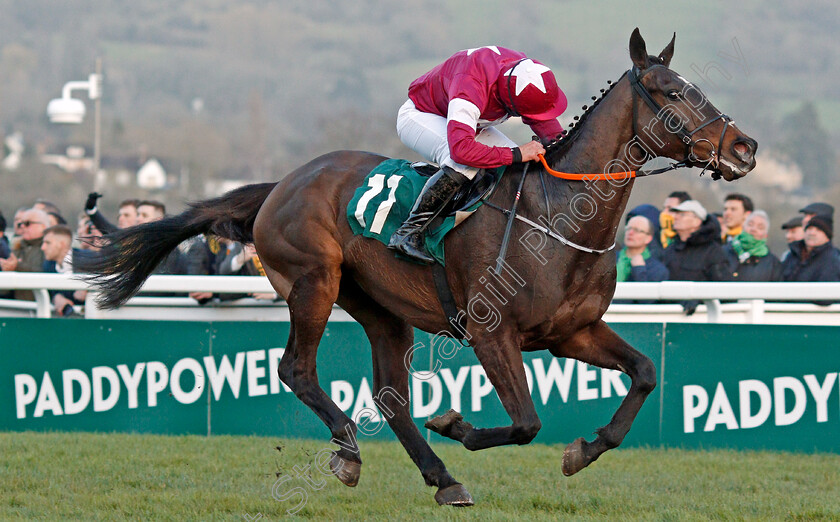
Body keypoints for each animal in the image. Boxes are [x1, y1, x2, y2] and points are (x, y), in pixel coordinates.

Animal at [83, 30, 756, 506]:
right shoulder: (491, 332)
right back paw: (351, 453)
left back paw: (442, 478)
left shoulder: (572, 332)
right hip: (313, 282)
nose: (744, 148)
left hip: (383, 311)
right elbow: (526, 421)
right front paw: (455, 422)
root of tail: (282, 184)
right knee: (296, 368)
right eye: (673, 93)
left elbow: (644, 373)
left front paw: (584, 451)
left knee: (391, 399)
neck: (558, 216)